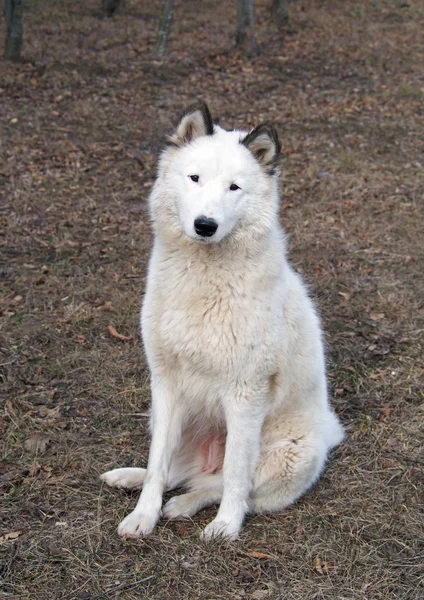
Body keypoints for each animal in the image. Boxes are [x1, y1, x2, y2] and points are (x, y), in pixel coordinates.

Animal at [102, 101, 344, 540]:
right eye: (195, 178)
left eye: (234, 187)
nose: (205, 225)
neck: (203, 281)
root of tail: (330, 432)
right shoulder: (165, 383)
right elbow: (158, 464)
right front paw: (142, 516)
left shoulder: (245, 393)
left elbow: (235, 473)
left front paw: (226, 526)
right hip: (168, 419)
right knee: (175, 471)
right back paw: (131, 478)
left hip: (286, 455)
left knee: (226, 485)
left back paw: (186, 506)